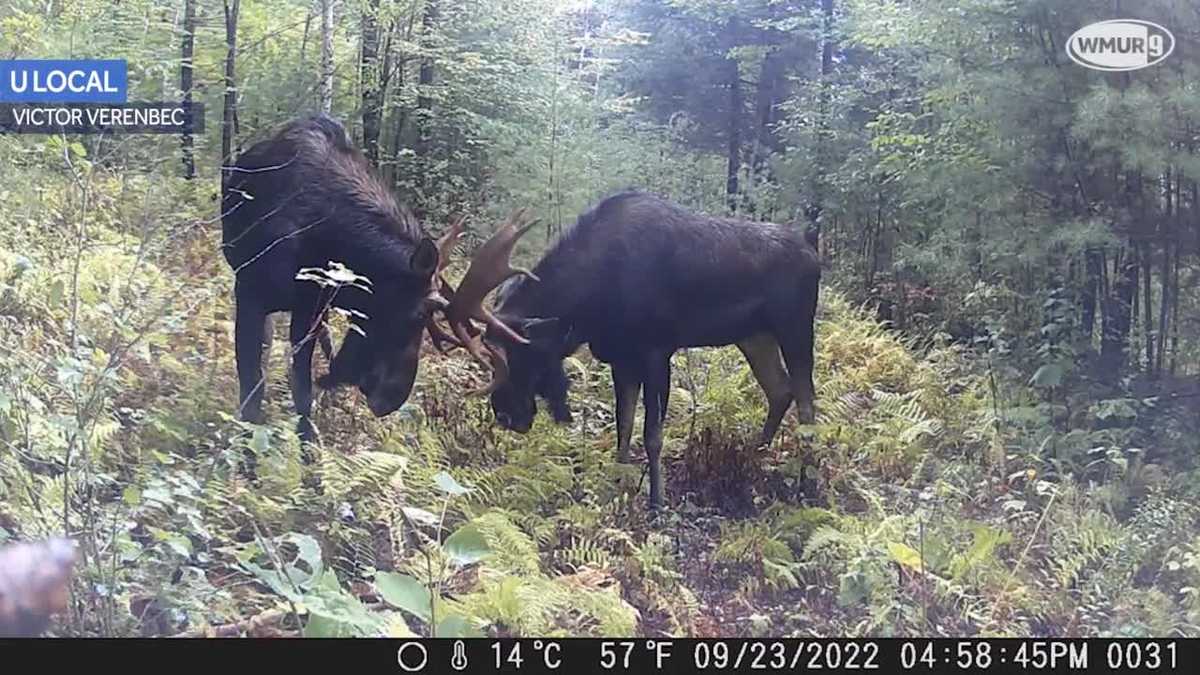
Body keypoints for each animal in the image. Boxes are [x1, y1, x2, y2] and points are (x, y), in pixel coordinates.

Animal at [217, 114, 535, 441]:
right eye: (418, 315)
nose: (392, 399)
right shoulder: (249, 291)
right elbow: (251, 390)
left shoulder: (311, 307)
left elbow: (301, 391)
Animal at [468, 192, 825, 506]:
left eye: (513, 352)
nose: (505, 415)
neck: (588, 306)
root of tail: (812, 246)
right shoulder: (621, 358)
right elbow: (623, 426)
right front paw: (616, 486)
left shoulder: (656, 351)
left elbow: (652, 435)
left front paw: (656, 502)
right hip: (754, 336)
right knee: (780, 389)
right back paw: (755, 455)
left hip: (795, 327)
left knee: (807, 402)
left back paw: (804, 483)